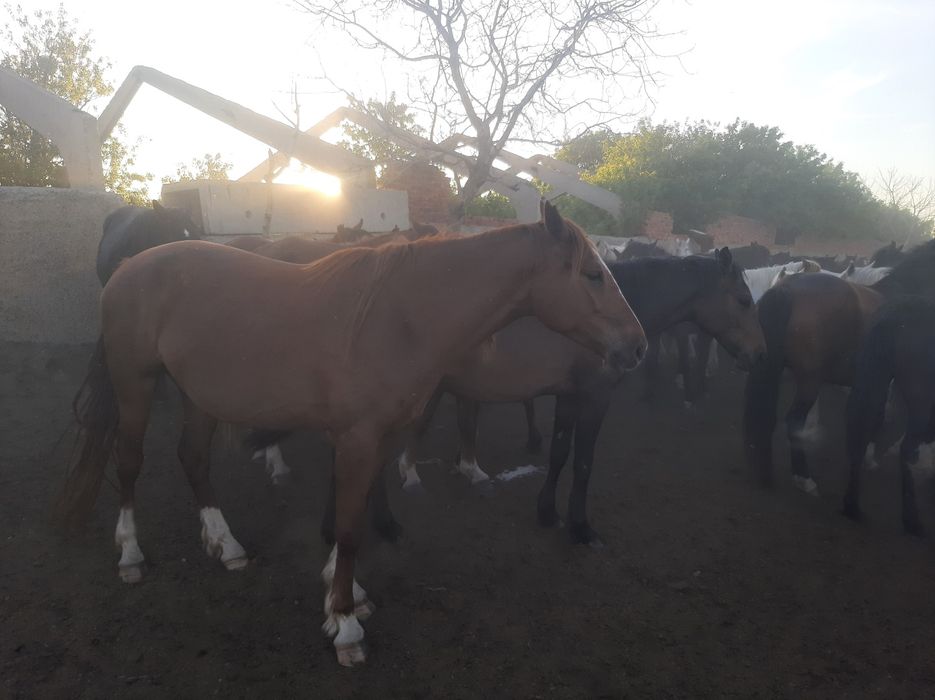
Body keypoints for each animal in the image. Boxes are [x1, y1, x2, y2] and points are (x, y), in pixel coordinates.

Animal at [56, 200, 647, 667]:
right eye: (593, 274)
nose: (636, 346)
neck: (400, 317)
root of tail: (132, 265)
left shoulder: (376, 437)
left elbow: (352, 515)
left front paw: (345, 592)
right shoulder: (359, 439)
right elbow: (349, 527)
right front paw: (345, 623)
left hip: (199, 394)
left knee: (193, 459)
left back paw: (227, 545)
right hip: (135, 383)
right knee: (129, 461)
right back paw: (131, 555)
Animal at [743, 238, 935, 496]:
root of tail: (787, 290)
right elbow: (877, 415)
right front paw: (870, 457)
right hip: (809, 380)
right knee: (793, 421)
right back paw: (803, 477)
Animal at [844, 295, 935, 535]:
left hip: (876, 383)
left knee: (862, 432)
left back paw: (852, 507)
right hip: (921, 404)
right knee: (908, 449)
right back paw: (912, 521)